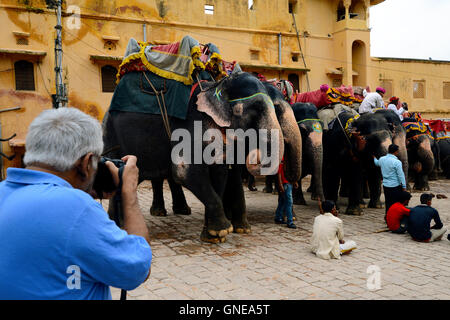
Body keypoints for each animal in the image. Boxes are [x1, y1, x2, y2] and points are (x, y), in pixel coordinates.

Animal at [102, 70, 298, 242]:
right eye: (255, 110)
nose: (255, 154)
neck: (216, 87)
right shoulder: (189, 126)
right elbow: (184, 172)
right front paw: (223, 230)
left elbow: (219, 173)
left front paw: (213, 236)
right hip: (110, 137)